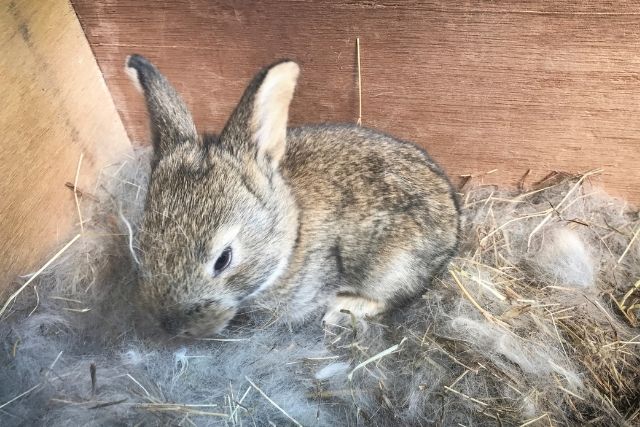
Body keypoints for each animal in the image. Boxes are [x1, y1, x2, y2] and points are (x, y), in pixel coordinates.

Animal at [125, 54, 461, 338]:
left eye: (223, 260)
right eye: (142, 245)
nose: (172, 326)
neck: (291, 234)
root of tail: (454, 220)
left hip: (393, 266)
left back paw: (343, 308)